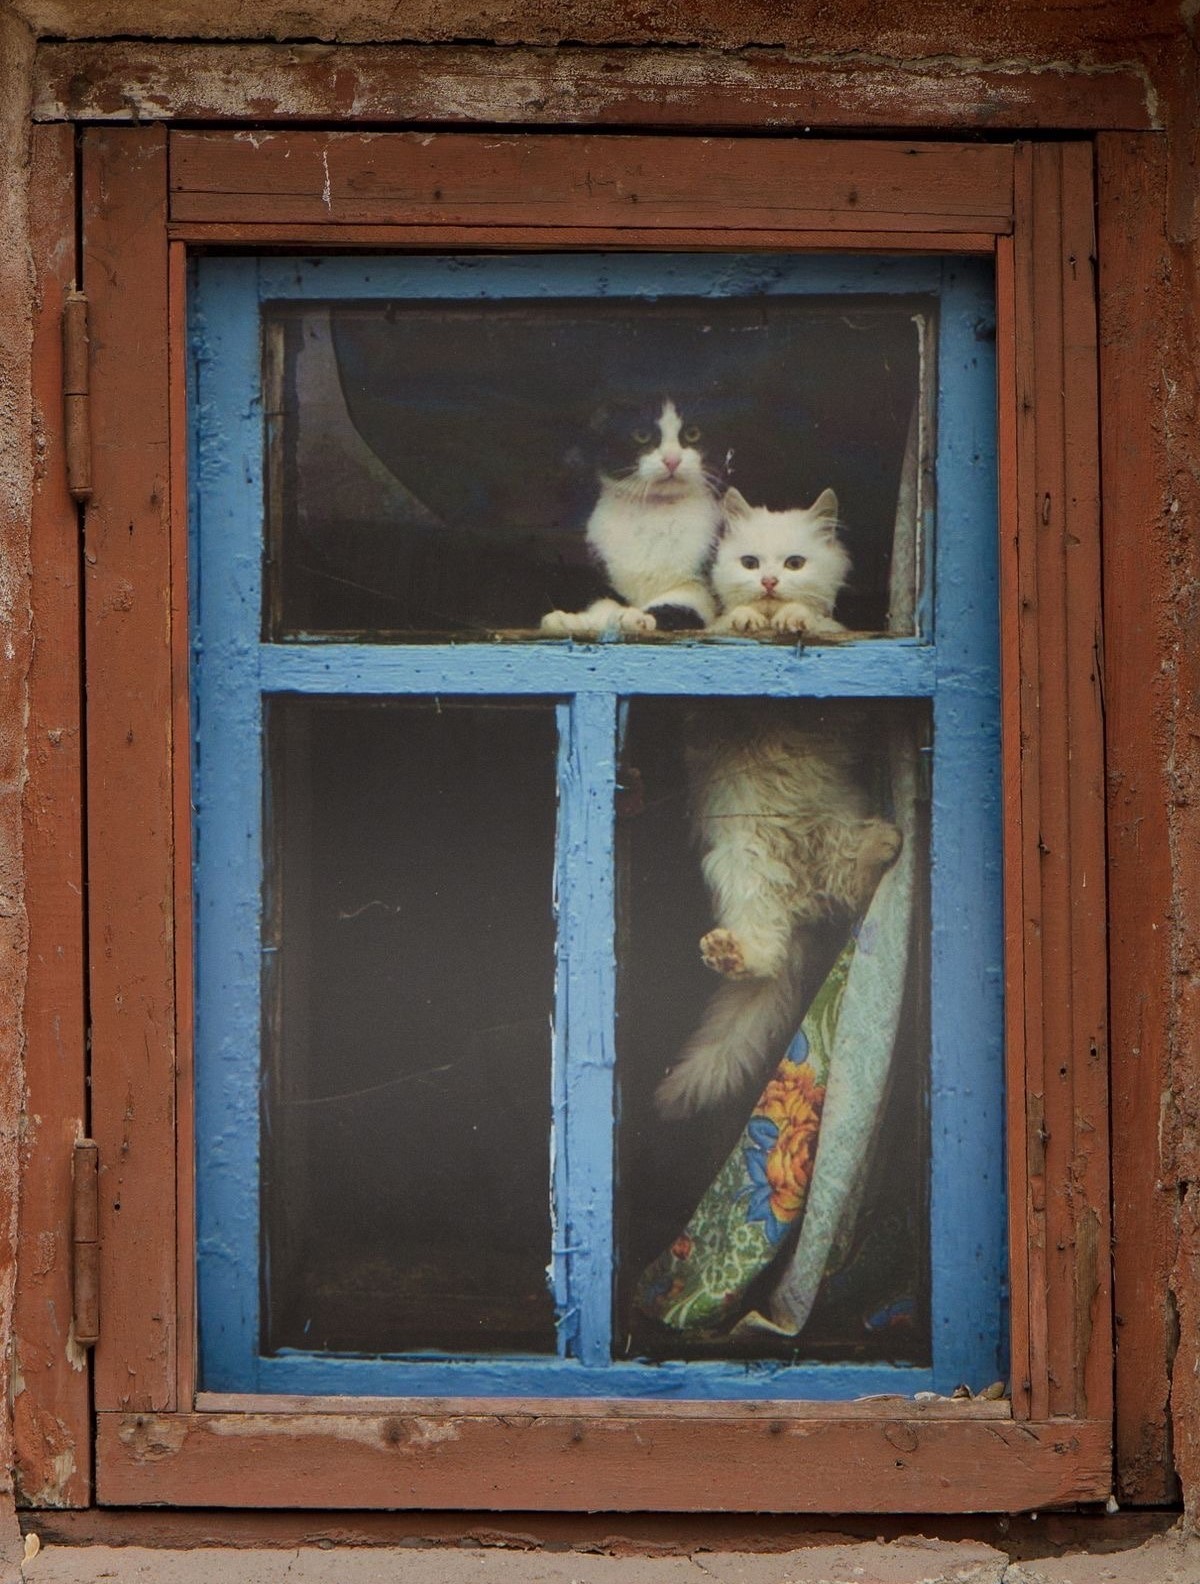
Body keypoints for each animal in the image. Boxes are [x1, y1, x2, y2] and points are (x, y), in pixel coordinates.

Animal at [541, 399, 725, 639]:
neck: (653, 513)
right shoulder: (601, 571)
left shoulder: (700, 586)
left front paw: (636, 617)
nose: (672, 460)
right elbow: (603, 603)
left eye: (693, 433)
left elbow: (680, 604)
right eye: (641, 435)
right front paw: (573, 620)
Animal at [715, 481, 854, 636]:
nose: (768, 581)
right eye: (749, 563)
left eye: (795, 563)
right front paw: (745, 617)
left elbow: (814, 620)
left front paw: (791, 617)